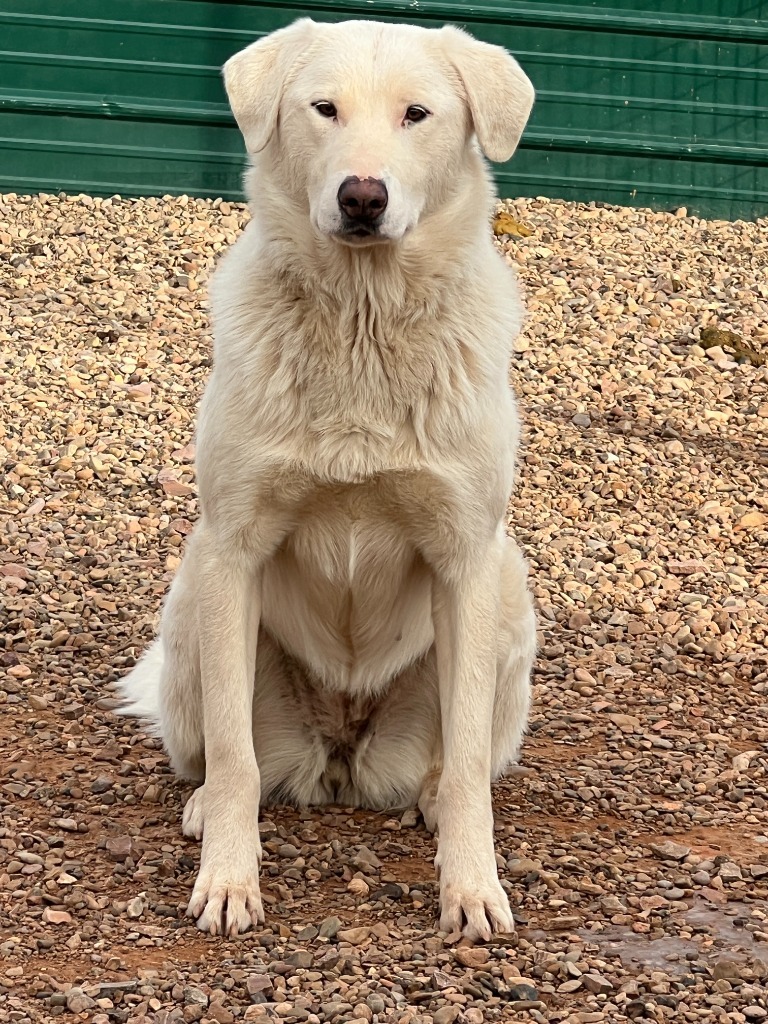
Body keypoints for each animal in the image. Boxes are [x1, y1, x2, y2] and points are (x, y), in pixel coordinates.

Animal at [121, 18, 540, 942]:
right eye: (324, 109)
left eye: (417, 114)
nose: (362, 197)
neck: (362, 323)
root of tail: (344, 759)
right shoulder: (235, 549)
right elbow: (236, 761)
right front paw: (229, 880)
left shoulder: (467, 559)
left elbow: (467, 769)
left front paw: (471, 887)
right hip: (193, 600)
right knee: (222, 756)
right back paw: (204, 807)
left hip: (509, 598)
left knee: (456, 763)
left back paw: (430, 801)